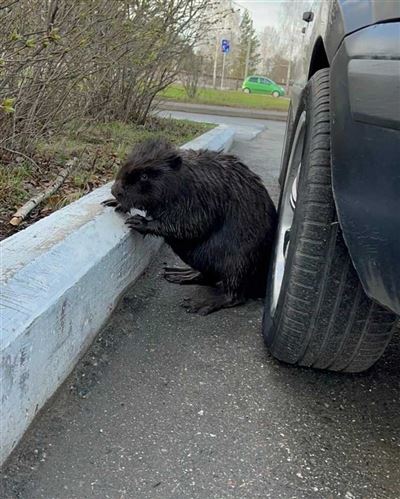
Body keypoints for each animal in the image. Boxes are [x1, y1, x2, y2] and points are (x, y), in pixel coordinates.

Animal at [103, 139, 276, 314]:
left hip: (239, 262)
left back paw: (199, 303)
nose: (115, 190)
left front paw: (139, 222)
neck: (184, 177)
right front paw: (113, 203)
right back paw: (180, 274)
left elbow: (192, 224)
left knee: (235, 295)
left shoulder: (201, 195)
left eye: (144, 176)